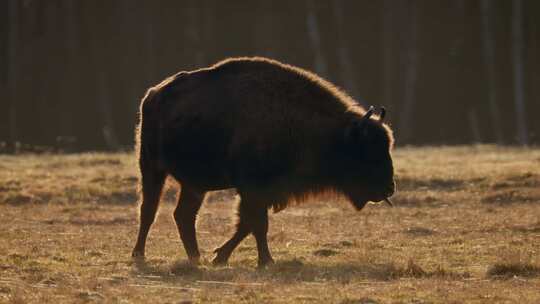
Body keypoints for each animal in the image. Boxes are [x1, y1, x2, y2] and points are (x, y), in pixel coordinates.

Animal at [129, 56, 394, 266]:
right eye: (367, 152)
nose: (389, 188)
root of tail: (153, 95)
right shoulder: (253, 188)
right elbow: (257, 224)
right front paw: (265, 261)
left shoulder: (263, 192)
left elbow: (247, 224)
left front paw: (219, 257)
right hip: (151, 168)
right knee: (148, 210)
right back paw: (139, 255)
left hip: (195, 185)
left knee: (184, 215)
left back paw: (195, 258)